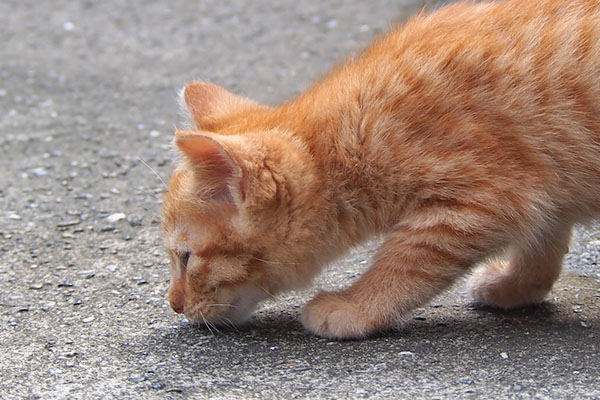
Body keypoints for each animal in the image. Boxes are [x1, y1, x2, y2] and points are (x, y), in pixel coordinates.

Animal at [161, 0, 600, 338]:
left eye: (185, 257)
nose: (174, 305)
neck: (355, 131)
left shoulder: (479, 204)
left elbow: (402, 264)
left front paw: (357, 306)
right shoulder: (547, 188)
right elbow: (544, 242)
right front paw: (517, 285)